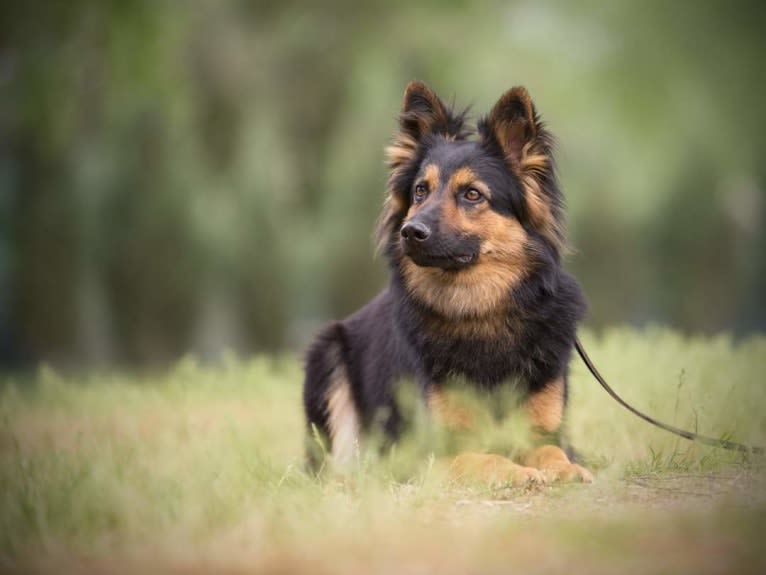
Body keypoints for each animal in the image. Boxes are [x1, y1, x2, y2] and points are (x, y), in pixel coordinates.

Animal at [304, 82, 592, 486]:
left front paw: (566, 469)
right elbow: (485, 459)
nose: (411, 232)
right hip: (329, 353)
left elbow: (552, 451)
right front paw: (520, 473)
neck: (480, 312)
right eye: (420, 191)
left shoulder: (543, 432)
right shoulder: (434, 453)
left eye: (472, 194)